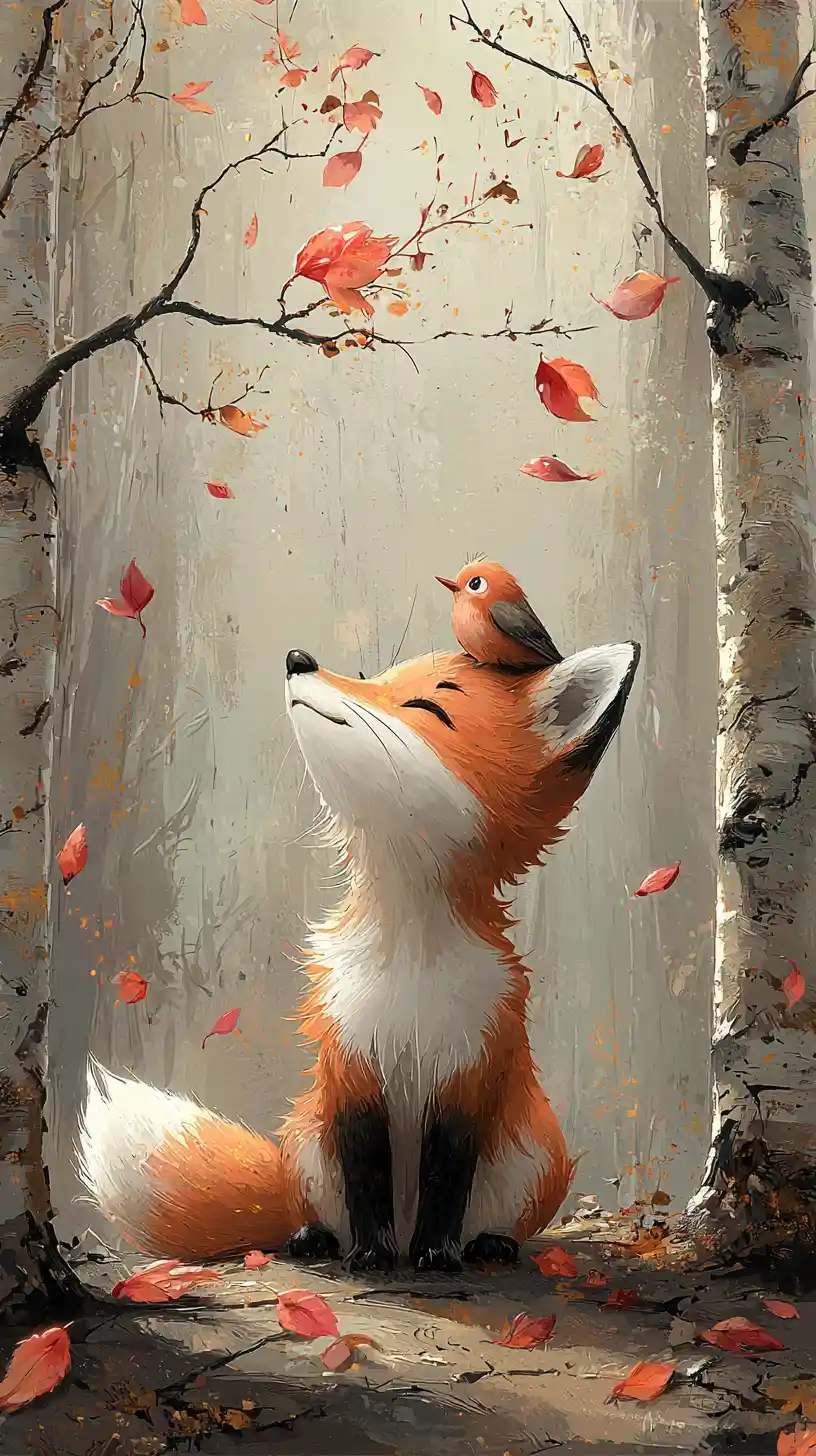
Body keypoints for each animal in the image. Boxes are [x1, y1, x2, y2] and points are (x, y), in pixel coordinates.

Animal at [79, 628, 640, 1272]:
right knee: (315, 1214)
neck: (408, 964)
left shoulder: (467, 1072)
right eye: (376, 678)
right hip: (305, 1142)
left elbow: (447, 1181)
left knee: (493, 1218)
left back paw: (485, 1245)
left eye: (428, 707)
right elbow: (366, 1177)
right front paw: (372, 1256)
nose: (299, 660)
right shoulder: (351, 1065)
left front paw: (436, 1255)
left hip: (535, 1155)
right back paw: (318, 1239)